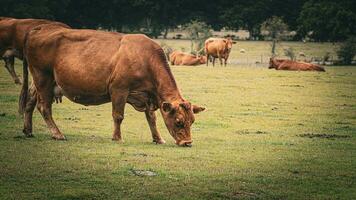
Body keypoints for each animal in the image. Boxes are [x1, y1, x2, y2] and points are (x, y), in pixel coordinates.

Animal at [19, 24, 204, 148]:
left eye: (192, 121)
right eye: (179, 122)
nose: (187, 142)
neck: (145, 59)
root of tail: (39, 28)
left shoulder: (147, 96)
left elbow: (152, 118)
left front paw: (158, 138)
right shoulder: (119, 90)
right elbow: (118, 115)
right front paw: (117, 137)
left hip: (40, 82)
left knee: (29, 102)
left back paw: (28, 130)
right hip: (43, 78)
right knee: (44, 107)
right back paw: (57, 134)